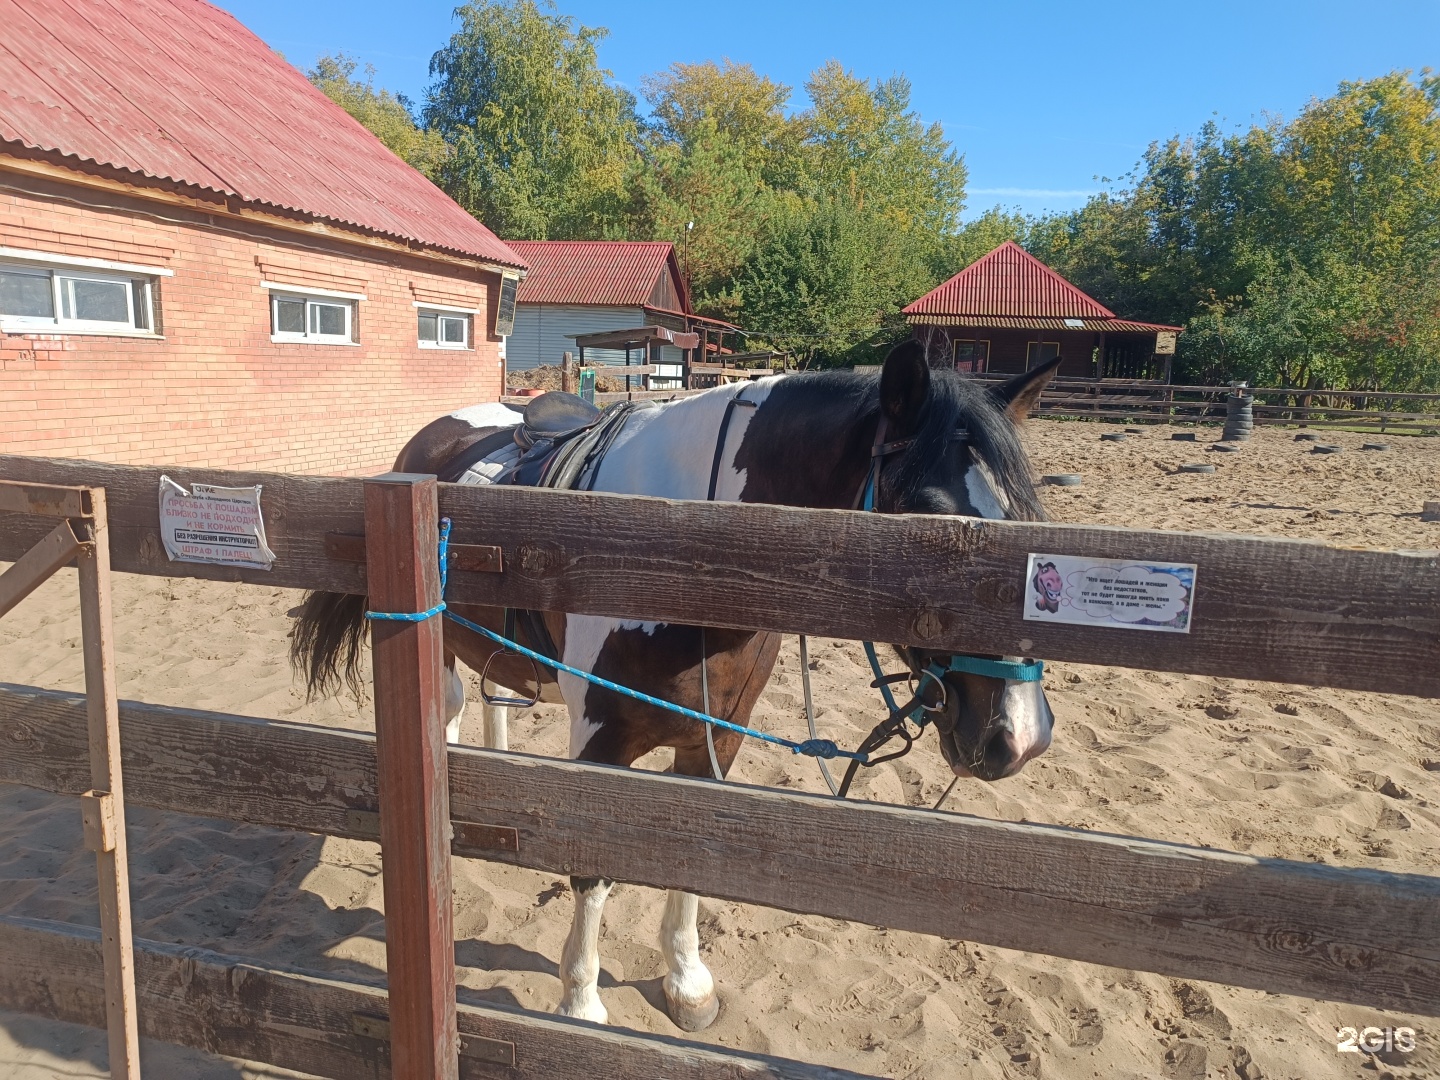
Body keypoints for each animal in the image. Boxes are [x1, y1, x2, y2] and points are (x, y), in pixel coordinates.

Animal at [289, 342, 1059, 1036]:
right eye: (931, 518)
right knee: (444, 709)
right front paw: (581, 1006)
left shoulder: (715, 742)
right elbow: (594, 869)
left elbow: (695, 856)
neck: (680, 550)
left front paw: (687, 984)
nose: (1018, 736)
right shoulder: (601, 745)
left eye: (1035, 519)